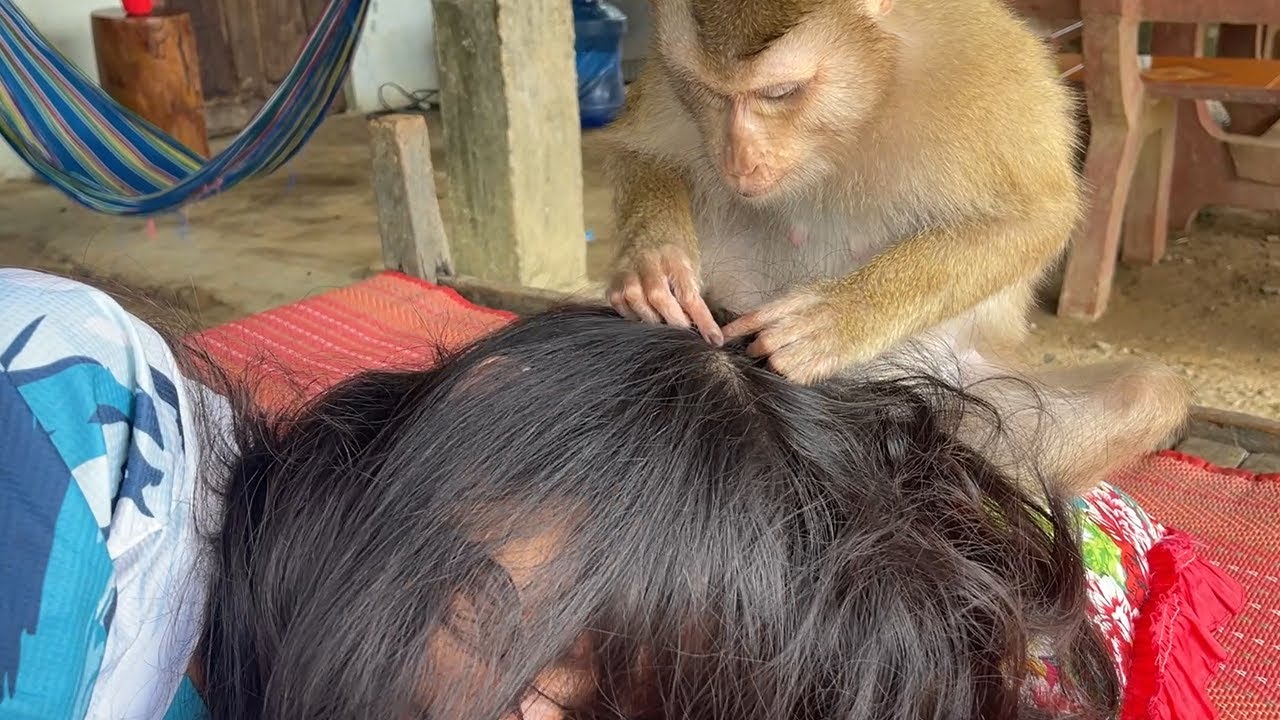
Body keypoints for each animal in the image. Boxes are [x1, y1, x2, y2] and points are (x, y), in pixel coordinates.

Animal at [601, 0, 1190, 494]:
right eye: (708, 91)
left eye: (780, 92)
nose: (739, 159)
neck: (871, 95)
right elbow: (640, 151)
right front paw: (652, 268)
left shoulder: (990, 75)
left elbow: (1037, 218)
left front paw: (836, 319)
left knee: (1145, 392)